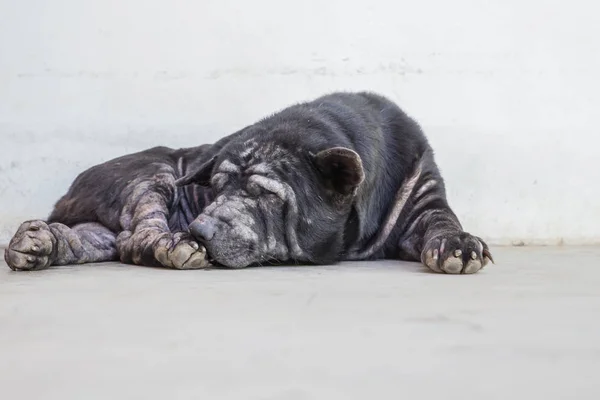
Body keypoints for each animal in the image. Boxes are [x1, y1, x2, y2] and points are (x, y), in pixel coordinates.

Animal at [3, 92, 492, 274]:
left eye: (264, 193)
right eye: (217, 187)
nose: (200, 228)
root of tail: (66, 195)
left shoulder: (423, 195)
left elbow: (442, 222)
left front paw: (461, 248)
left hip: (99, 221)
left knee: (93, 240)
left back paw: (34, 244)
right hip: (153, 175)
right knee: (134, 237)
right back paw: (175, 247)